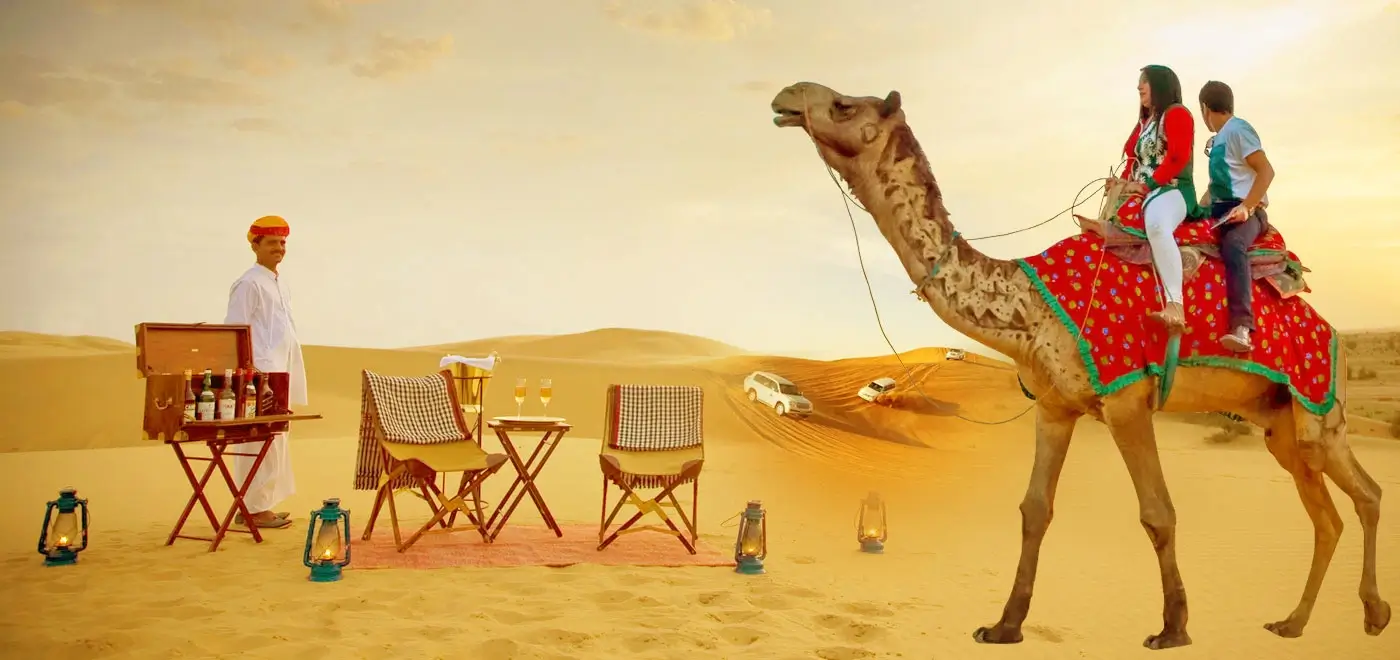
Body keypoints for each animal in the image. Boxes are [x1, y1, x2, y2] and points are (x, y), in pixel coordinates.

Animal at [768, 81, 1389, 649]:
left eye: (844, 105)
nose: (787, 97)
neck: (1029, 305)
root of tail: (1331, 330)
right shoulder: (1055, 406)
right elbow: (1034, 510)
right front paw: (1004, 626)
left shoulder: (1126, 398)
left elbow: (1158, 512)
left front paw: (1173, 628)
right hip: (1280, 424)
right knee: (1330, 515)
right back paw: (1295, 622)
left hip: (1318, 410)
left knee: (1367, 494)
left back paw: (1372, 615)